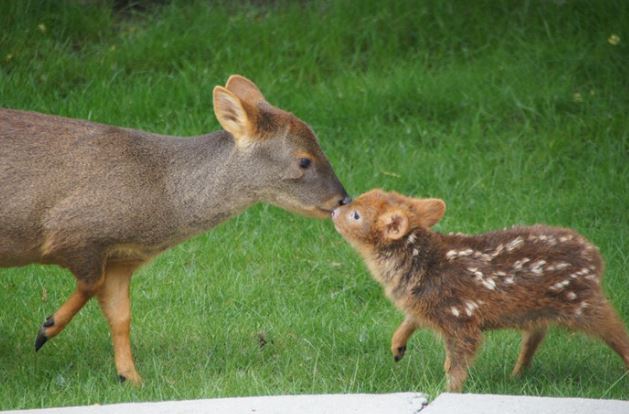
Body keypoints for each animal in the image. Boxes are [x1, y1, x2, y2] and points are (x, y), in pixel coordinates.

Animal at [332, 189, 624, 390]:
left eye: (356, 215)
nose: (335, 210)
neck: (423, 266)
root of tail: (596, 258)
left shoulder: (460, 318)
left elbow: (456, 365)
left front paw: (449, 393)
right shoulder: (426, 307)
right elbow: (411, 320)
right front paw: (397, 347)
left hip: (583, 302)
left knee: (617, 328)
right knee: (536, 332)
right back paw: (516, 374)